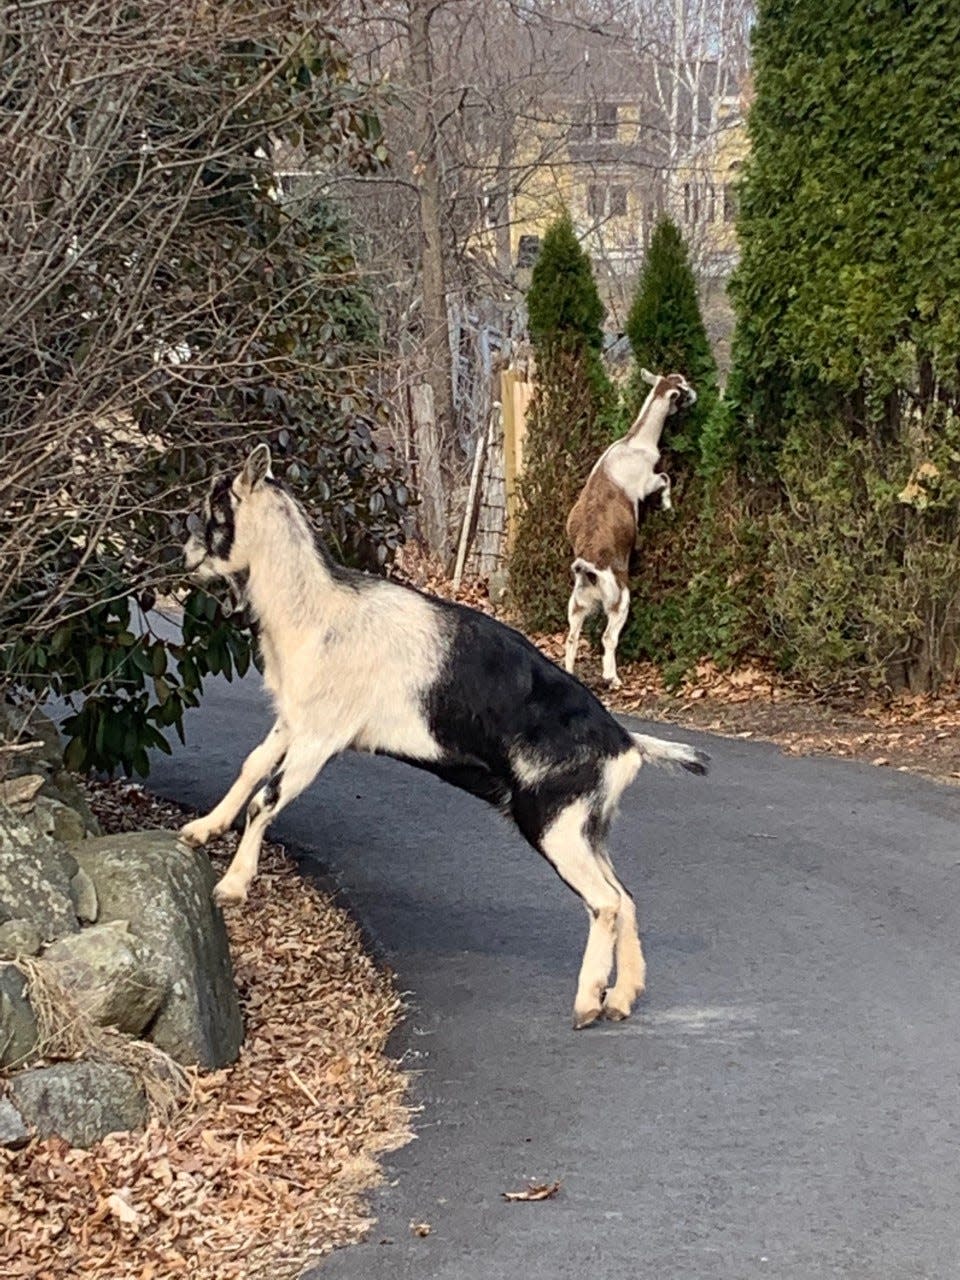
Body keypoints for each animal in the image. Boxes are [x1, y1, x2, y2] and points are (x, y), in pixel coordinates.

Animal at [180, 445, 711, 1024]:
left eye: (214, 510)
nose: (186, 556)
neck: (316, 611)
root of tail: (625, 746)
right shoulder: (294, 720)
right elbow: (252, 766)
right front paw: (201, 829)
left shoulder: (322, 735)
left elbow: (268, 797)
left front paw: (231, 886)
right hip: (589, 827)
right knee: (627, 897)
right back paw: (621, 998)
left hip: (556, 824)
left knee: (607, 901)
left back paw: (587, 1001)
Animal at [563, 368, 701, 691]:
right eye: (682, 390)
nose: (695, 394)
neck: (634, 441)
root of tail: (588, 569)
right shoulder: (645, 483)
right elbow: (665, 479)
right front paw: (668, 506)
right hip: (619, 598)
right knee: (608, 636)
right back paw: (612, 678)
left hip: (577, 603)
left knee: (572, 636)